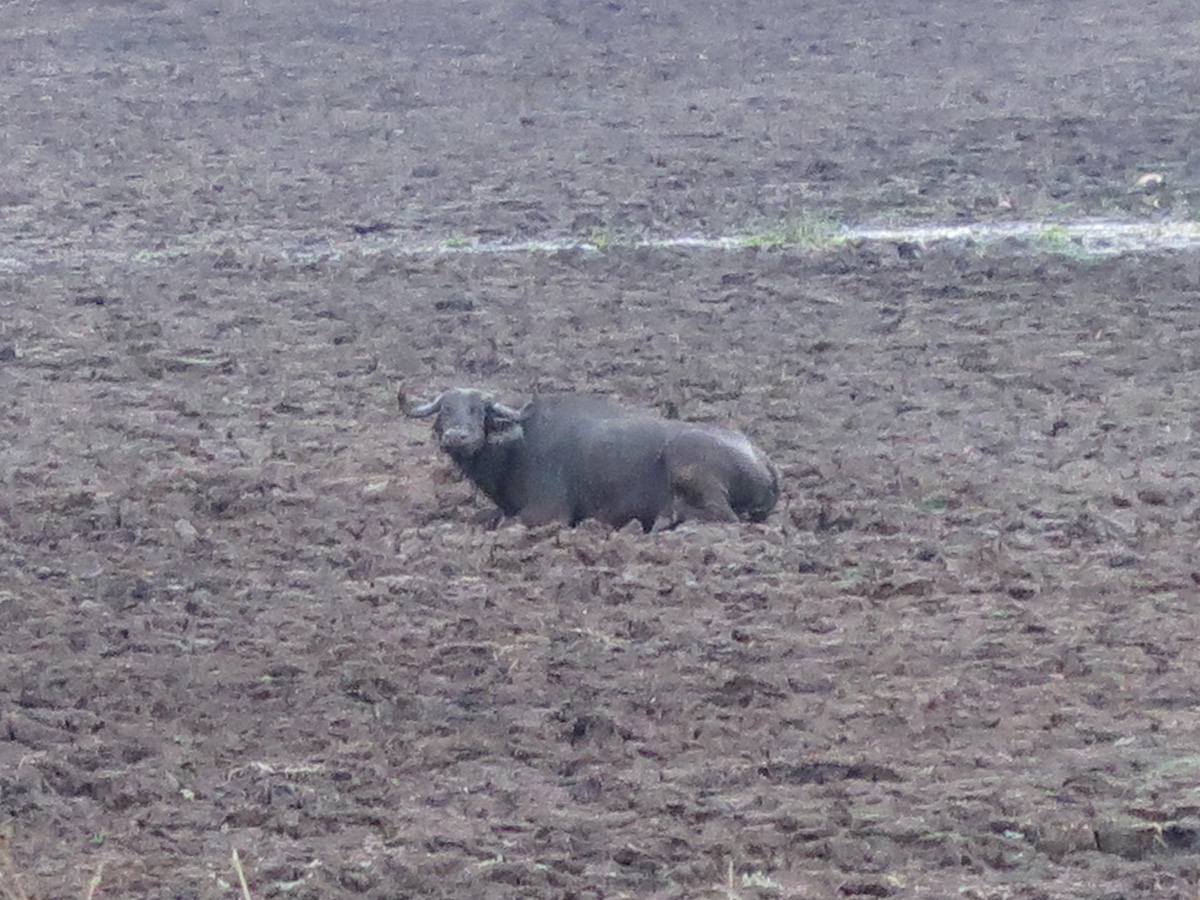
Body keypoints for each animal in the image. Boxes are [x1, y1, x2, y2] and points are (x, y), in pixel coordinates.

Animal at [402, 387, 779, 531]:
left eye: (478, 410)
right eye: (445, 409)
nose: (457, 437)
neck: (516, 446)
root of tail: (763, 459)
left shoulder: (548, 512)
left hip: (687, 462)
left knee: (722, 515)